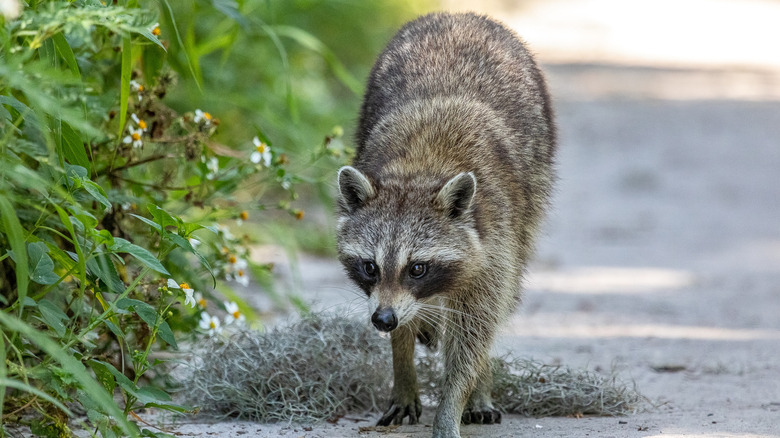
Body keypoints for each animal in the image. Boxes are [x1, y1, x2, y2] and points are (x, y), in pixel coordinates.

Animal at [336, 12, 555, 438]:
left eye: (418, 268)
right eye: (369, 266)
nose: (383, 319)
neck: (419, 170)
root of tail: (459, 16)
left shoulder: (494, 241)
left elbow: (475, 330)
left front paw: (454, 402)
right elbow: (408, 326)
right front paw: (402, 366)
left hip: (534, 190)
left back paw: (481, 387)